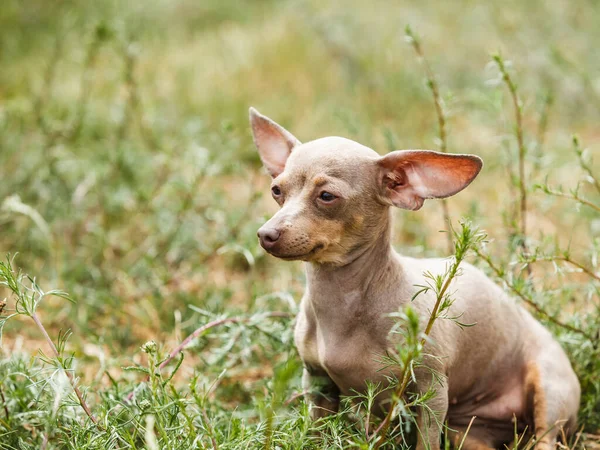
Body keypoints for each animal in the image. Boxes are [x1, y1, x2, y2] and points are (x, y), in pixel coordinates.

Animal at [250, 107, 580, 448]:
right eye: (277, 190)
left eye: (327, 196)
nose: (266, 234)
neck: (343, 303)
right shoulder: (317, 382)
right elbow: (316, 433)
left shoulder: (431, 392)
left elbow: (426, 440)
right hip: (466, 432)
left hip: (550, 391)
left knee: (545, 436)